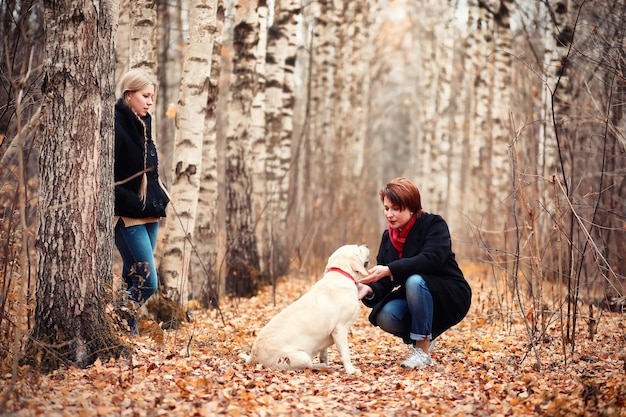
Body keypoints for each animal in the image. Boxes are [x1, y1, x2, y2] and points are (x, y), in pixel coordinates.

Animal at [241, 242, 368, 372]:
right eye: (358, 249)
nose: (366, 246)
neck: (342, 274)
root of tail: (253, 357)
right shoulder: (340, 329)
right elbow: (345, 353)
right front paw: (351, 370)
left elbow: (324, 354)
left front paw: (326, 362)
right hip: (301, 357)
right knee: (310, 366)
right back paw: (325, 366)